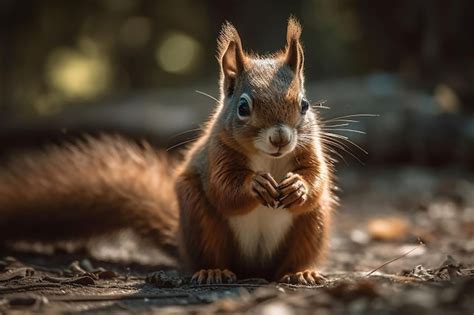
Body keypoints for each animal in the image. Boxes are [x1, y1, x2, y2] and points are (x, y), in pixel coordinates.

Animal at [0, 18, 336, 288]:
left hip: (313, 223)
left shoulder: (310, 149)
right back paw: (213, 271)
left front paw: (298, 186)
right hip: (199, 216)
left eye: (304, 105)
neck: (269, 159)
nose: (280, 138)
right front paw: (256, 184)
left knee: (296, 254)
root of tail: (255, 268)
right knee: (211, 252)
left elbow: (316, 176)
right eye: (243, 107)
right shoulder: (216, 155)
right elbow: (224, 190)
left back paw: (301, 273)